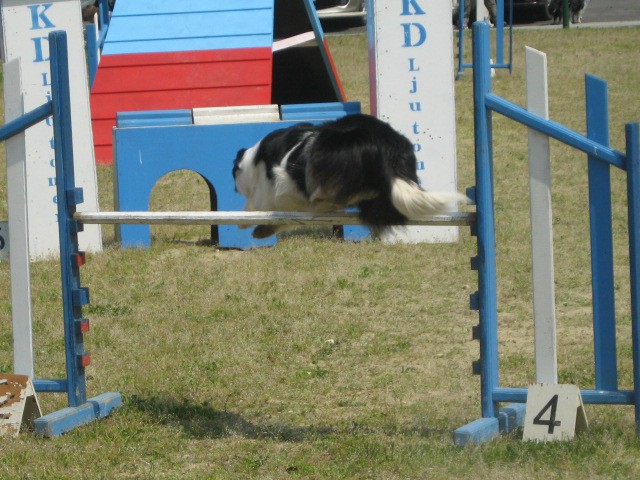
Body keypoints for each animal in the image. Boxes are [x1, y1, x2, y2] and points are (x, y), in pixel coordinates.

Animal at [232, 113, 468, 240]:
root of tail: (386, 145)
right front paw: (263, 230)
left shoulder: (269, 194)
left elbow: (254, 207)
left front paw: (246, 224)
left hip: (332, 151)